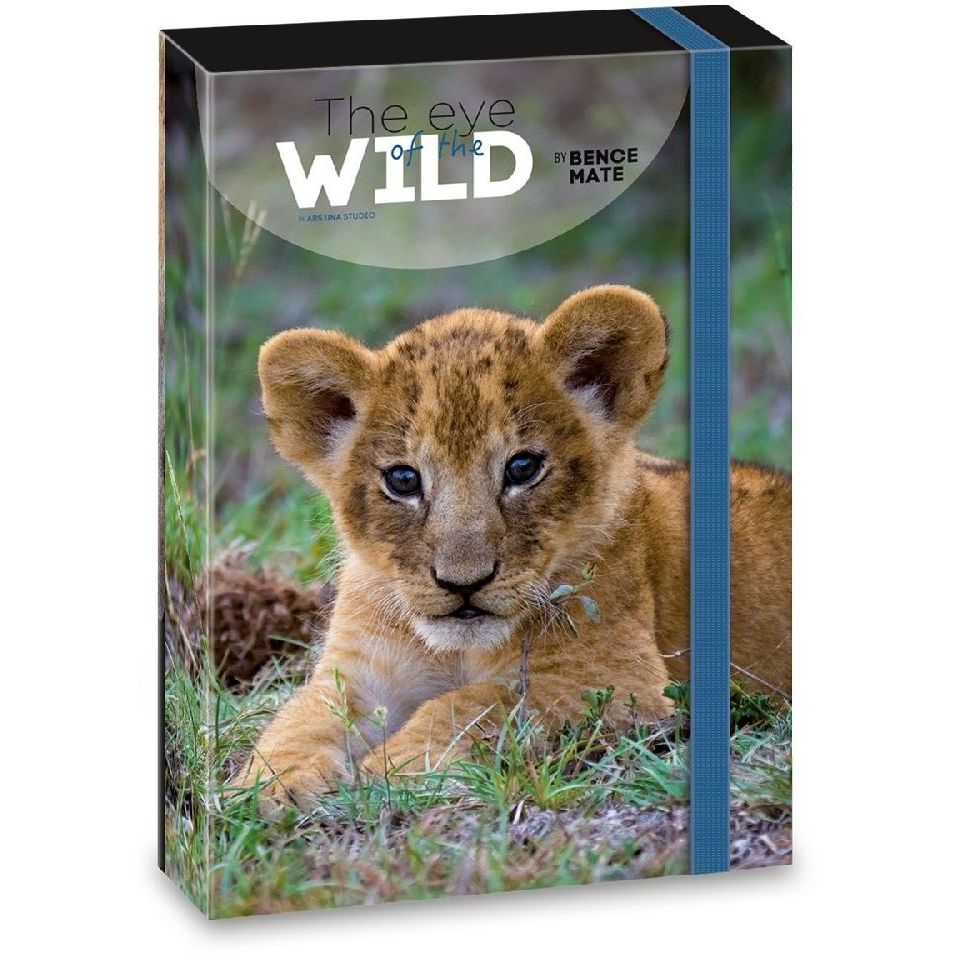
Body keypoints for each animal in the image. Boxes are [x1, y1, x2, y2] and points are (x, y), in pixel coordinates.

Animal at [239, 285, 791, 809]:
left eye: (522, 468)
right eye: (403, 479)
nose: (463, 583)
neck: (459, 652)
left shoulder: (622, 679)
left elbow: (475, 704)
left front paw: (390, 770)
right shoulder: (357, 674)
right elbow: (299, 721)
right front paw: (268, 788)